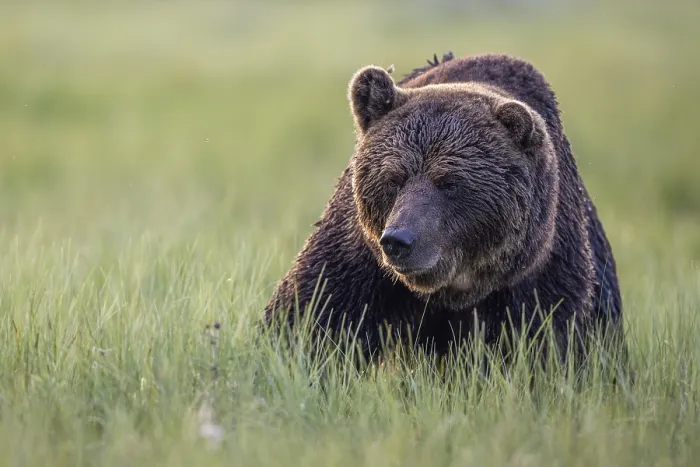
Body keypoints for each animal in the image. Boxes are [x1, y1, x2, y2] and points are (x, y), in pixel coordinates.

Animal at [264, 52, 625, 370]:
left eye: (449, 182)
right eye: (393, 178)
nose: (399, 240)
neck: (453, 289)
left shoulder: (542, 275)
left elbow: (548, 346)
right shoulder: (359, 262)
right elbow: (312, 318)